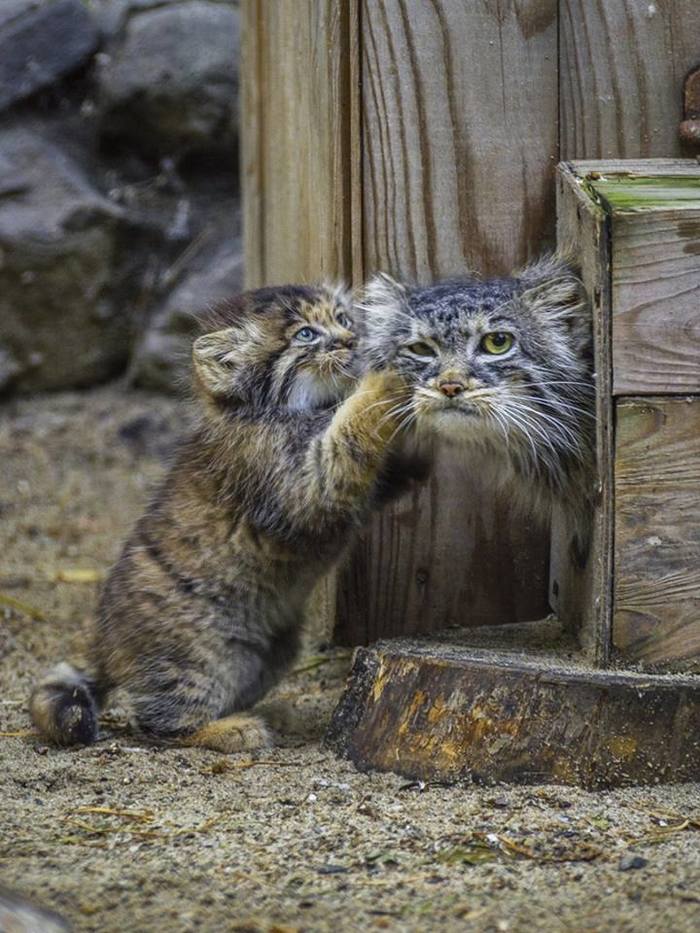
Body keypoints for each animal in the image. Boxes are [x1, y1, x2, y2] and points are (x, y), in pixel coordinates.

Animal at [32, 282, 412, 748]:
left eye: (342, 318)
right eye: (305, 334)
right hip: (196, 657)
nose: (352, 340)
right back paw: (232, 728)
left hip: (268, 652)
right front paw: (385, 378)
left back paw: (268, 713)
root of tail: (104, 646)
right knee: (161, 721)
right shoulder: (298, 482)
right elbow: (348, 432)